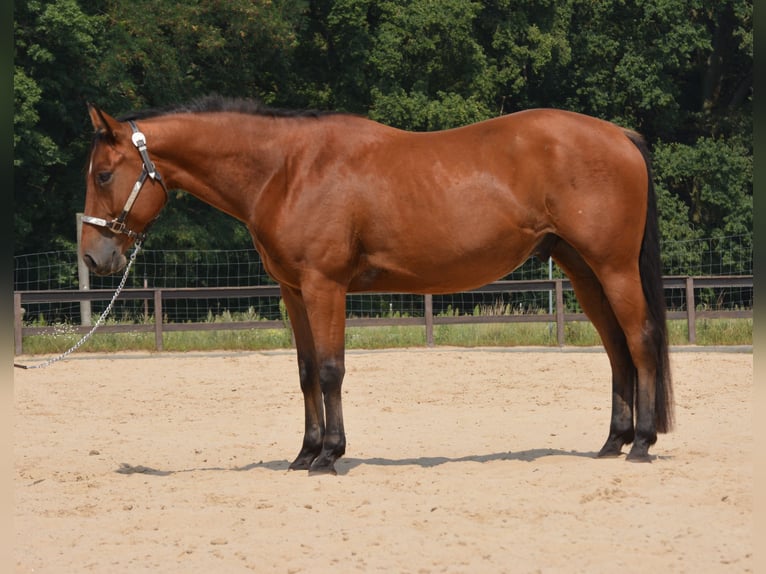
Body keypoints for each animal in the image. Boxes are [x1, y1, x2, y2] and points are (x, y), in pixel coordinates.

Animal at [80, 96, 673, 475]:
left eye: (104, 174)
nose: (93, 255)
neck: (287, 169)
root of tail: (618, 135)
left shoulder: (325, 287)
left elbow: (330, 369)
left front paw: (328, 456)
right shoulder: (293, 292)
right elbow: (305, 372)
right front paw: (304, 453)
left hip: (614, 267)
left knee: (640, 341)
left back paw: (642, 443)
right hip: (582, 270)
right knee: (616, 349)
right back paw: (612, 442)